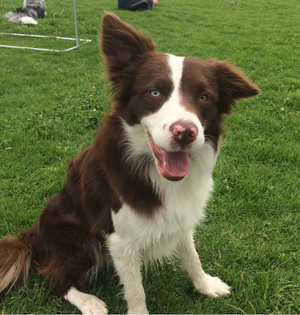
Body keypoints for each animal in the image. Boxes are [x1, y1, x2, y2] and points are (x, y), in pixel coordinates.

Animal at [0, 12, 258, 315]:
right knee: (54, 276)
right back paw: (89, 302)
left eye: (204, 97)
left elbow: (191, 254)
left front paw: (205, 285)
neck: (156, 173)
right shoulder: (120, 239)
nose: (185, 132)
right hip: (78, 238)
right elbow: (135, 290)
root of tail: (32, 236)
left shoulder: (180, 215)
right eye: (155, 93)